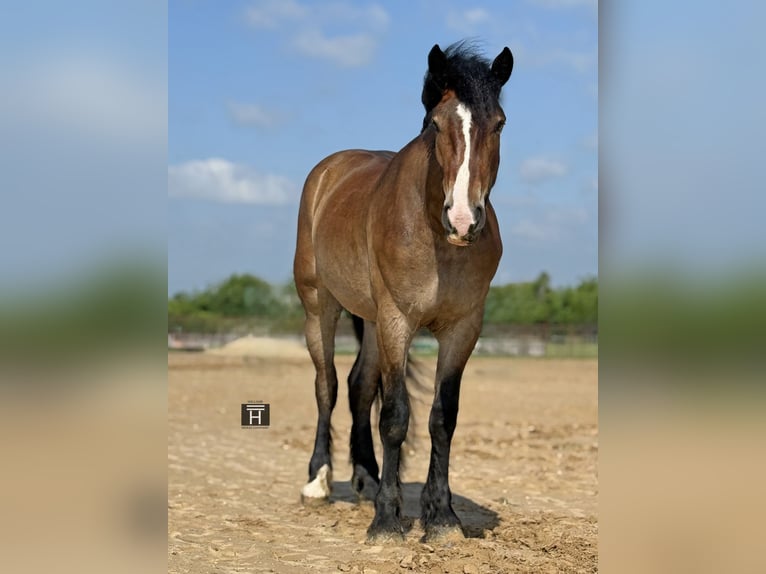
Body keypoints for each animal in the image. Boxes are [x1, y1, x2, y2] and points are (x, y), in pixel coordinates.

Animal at [293, 42, 513, 541]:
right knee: (326, 385)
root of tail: (327, 171)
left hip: (372, 321)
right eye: (436, 124)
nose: (464, 221)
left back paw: (366, 479)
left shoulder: (462, 328)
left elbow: (442, 417)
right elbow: (394, 416)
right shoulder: (398, 320)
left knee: (358, 386)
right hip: (321, 306)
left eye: (499, 123)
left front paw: (442, 516)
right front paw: (388, 520)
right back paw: (318, 481)